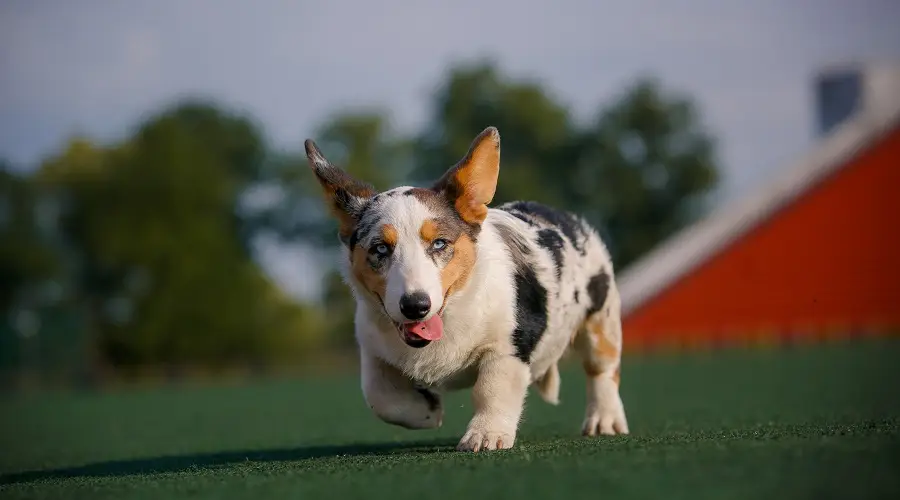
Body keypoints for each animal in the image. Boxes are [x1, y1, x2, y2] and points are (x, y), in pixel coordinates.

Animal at [306, 126, 628, 454]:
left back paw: (604, 421)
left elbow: (492, 388)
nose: (415, 306)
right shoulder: (374, 350)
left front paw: (486, 436)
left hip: (602, 319)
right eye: (380, 248)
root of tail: (570, 219)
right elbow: (379, 396)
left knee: (602, 370)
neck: (451, 312)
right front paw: (428, 412)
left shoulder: (508, 346)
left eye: (439, 243)